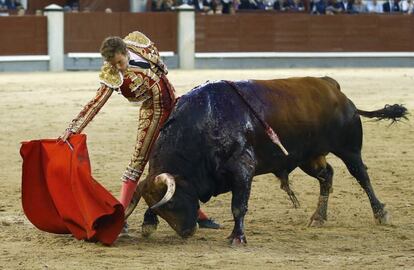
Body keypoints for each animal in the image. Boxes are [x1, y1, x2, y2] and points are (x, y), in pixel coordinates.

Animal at [126, 76, 408, 245]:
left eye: (173, 204)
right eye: (162, 210)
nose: (187, 232)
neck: (205, 121)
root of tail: (332, 86)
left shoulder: (243, 169)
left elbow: (238, 206)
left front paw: (237, 237)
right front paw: (148, 223)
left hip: (349, 149)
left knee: (362, 176)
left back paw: (381, 213)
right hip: (308, 157)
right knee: (327, 176)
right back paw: (318, 217)